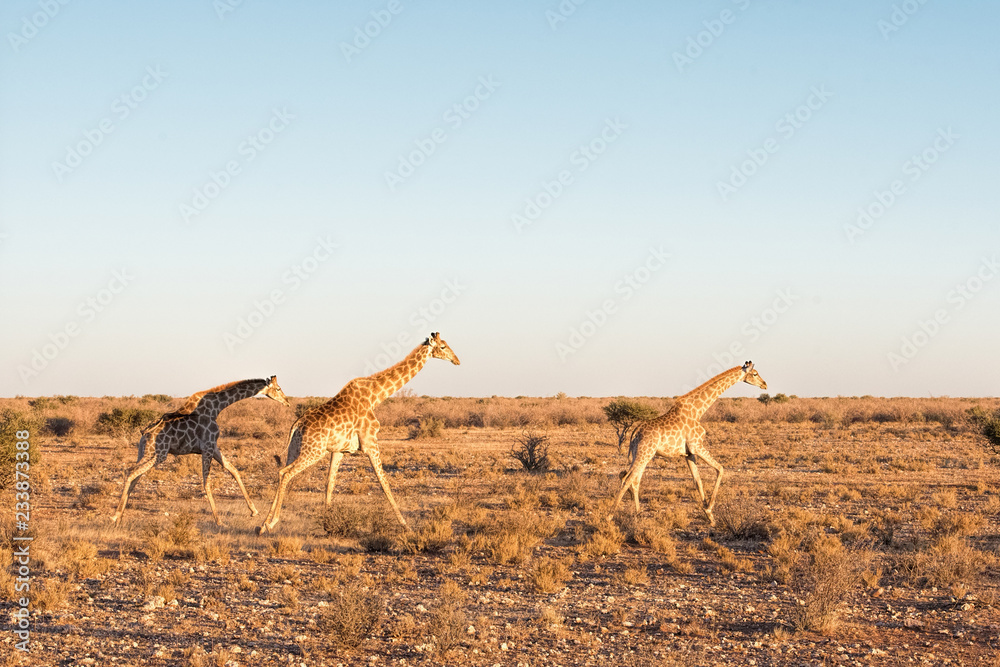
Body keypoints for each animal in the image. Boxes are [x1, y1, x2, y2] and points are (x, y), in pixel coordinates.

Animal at [111, 376, 290, 526]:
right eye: (278, 388)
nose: (287, 402)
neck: (216, 408)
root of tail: (145, 434)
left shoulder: (213, 446)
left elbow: (233, 470)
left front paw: (253, 511)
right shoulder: (208, 446)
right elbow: (207, 482)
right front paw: (219, 521)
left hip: (144, 453)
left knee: (135, 476)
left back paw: (120, 517)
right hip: (158, 454)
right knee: (131, 472)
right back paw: (115, 516)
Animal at [257, 332, 460, 534]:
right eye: (442, 347)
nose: (457, 360)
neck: (375, 396)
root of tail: (297, 424)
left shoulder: (339, 450)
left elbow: (329, 483)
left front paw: (327, 522)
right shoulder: (371, 443)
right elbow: (384, 482)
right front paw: (405, 524)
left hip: (295, 449)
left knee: (281, 471)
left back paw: (262, 525)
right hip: (313, 452)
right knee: (286, 474)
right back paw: (272, 522)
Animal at [609, 361, 767, 526]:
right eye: (755, 373)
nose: (765, 384)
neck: (698, 411)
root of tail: (635, 432)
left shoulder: (689, 454)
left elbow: (698, 481)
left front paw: (709, 516)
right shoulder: (697, 446)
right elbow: (720, 469)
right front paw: (709, 508)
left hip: (640, 454)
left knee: (633, 480)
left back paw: (638, 514)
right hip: (644, 453)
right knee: (627, 479)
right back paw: (609, 516)